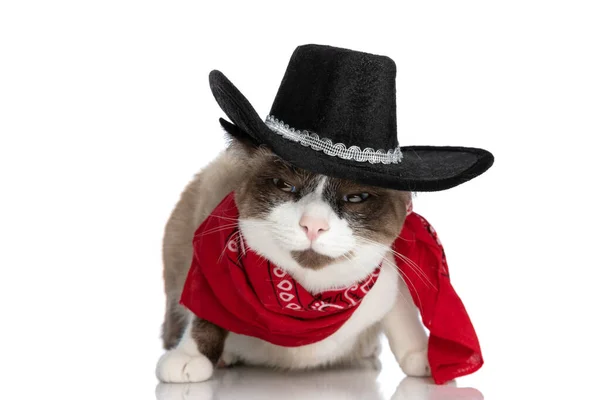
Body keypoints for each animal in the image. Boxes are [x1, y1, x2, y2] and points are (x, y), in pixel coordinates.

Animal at [155, 133, 432, 382]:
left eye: (355, 198)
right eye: (285, 185)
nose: (313, 225)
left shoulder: (393, 274)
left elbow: (403, 317)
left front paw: (422, 355)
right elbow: (206, 311)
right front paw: (190, 356)